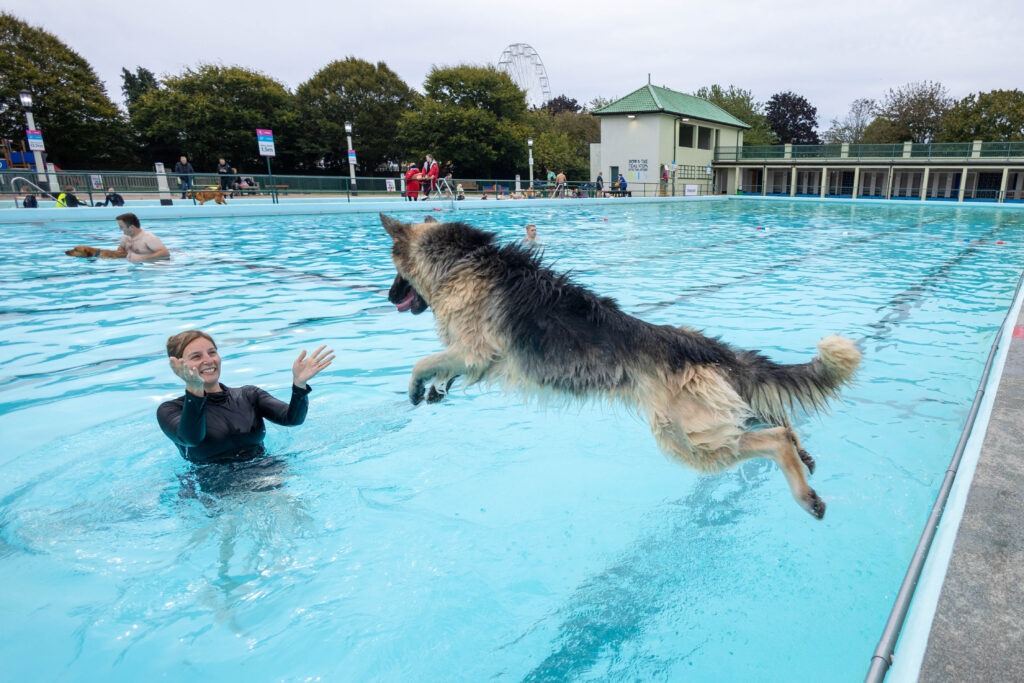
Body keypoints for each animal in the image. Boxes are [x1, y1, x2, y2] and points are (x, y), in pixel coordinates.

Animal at [380, 214, 860, 518]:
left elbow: (424, 361)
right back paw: (802, 451)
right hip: (716, 412)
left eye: (396, 272)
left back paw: (804, 493)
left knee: (773, 438)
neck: (462, 262)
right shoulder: (476, 357)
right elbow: (442, 368)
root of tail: (701, 347)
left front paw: (417, 387)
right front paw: (437, 390)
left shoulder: (474, 350)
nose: (387, 297)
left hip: (688, 439)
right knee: (778, 420)